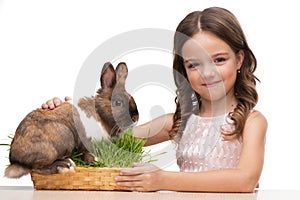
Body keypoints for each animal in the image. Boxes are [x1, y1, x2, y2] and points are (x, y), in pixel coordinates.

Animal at [4, 61, 138, 177]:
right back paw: (65, 165)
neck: (99, 113)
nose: (135, 118)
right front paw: (96, 161)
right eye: (118, 102)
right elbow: (88, 153)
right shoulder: (87, 141)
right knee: (36, 168)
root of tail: (15, 158)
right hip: (64, 137)